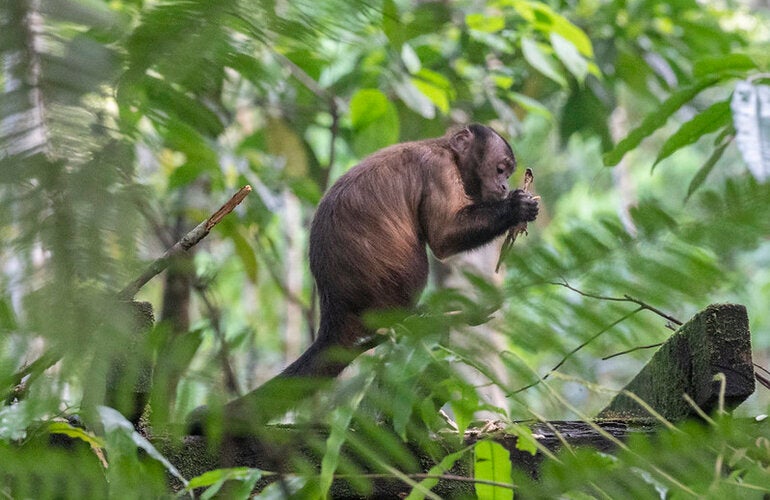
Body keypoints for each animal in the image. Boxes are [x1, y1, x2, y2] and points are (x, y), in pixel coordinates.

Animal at [189, 124, 539, 435]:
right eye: (500, 169)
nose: (504, 186)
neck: (447, 151)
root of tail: (334, 309)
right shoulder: (439, 170)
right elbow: (443, 239)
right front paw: (515, 208)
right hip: (382, 292)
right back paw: (410, 317)